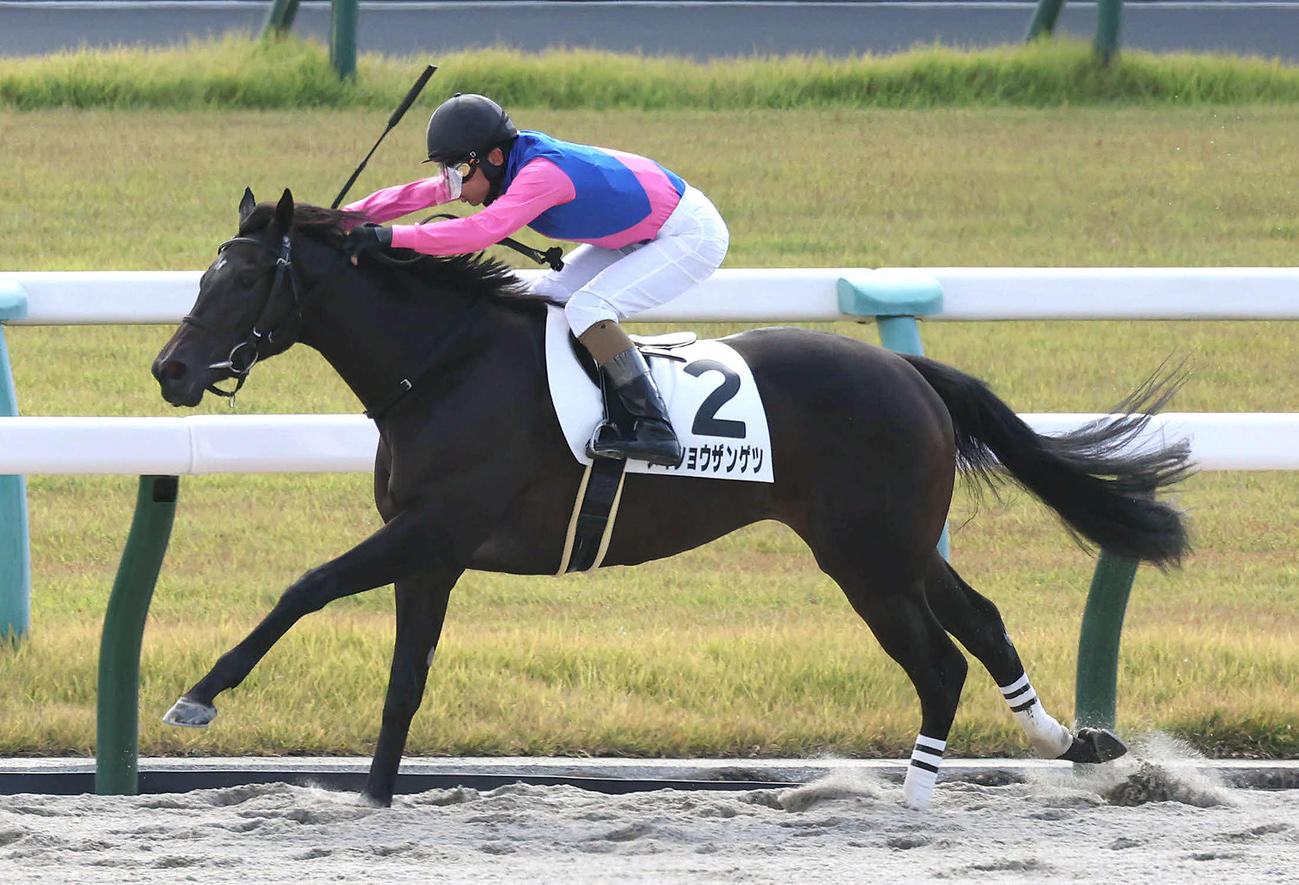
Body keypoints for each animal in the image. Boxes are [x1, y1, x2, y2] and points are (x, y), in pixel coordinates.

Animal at [152, 188, 1192, 809]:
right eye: (206, 271)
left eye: (247, 275)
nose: (171, 369)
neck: (441, 366)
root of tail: (907, 370)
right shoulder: (432, 553)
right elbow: (404, 679)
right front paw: (371, 796)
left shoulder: (431, 528)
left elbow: (307, 586)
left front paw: (198, 697)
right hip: (895, 545)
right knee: (981, 620)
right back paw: (1068, 740)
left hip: (864, 556)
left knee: (937, 662)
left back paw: (912, 799)